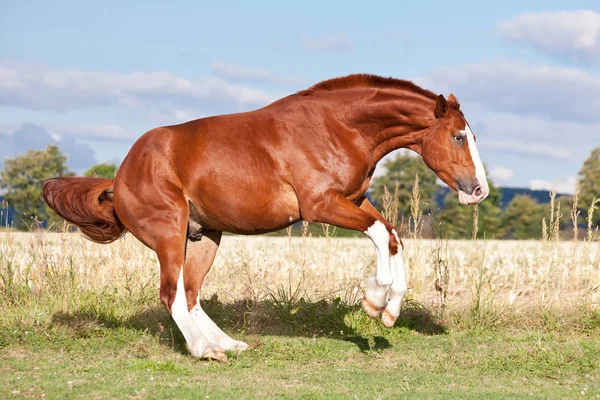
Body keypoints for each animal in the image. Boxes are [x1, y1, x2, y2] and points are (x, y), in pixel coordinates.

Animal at [44, 73, 490, 360]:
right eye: (458, 136)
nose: (479, 190)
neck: (339, 127)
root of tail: (119, 178)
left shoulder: (354, 200)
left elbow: (393, 235)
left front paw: (387, 309)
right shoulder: (320, 205)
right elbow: (382, 235)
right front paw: (376, 300)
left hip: (204, 237)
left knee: (190, 294)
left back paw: (227, 344)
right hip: (169, 233)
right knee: (171, 294)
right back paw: (205, 351)